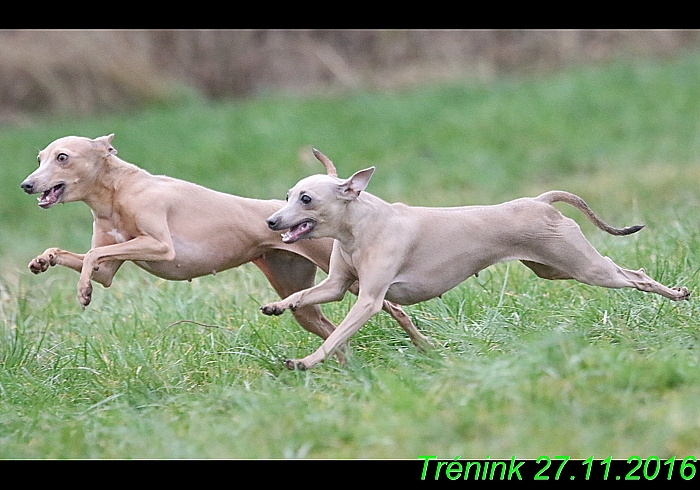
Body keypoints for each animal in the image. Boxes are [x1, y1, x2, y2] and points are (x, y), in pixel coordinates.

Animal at [20, 135, 426, 356]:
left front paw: (83, 291)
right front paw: (43, 261)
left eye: (63, 157)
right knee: (331, 331)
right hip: (298, 297)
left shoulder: (159, 246)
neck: (118, 191)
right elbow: (86, 257)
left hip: (348, 277)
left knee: (394, 308)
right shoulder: (110, 267)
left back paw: (423, 346)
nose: (26, 185)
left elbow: (93, 254)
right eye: (39, 158)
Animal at [262, 156, 688, 368]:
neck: (359, 225)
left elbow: (334, 337)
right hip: (554, 270)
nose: (270, 222)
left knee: (635, 275)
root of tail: (540, 201)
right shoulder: (337, 286)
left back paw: (676, 293)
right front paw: (277, 305)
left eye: (306, 199)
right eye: (287, 195)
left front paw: (306, 361)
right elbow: (302, 296)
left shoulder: (369, 300)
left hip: (587, 269)